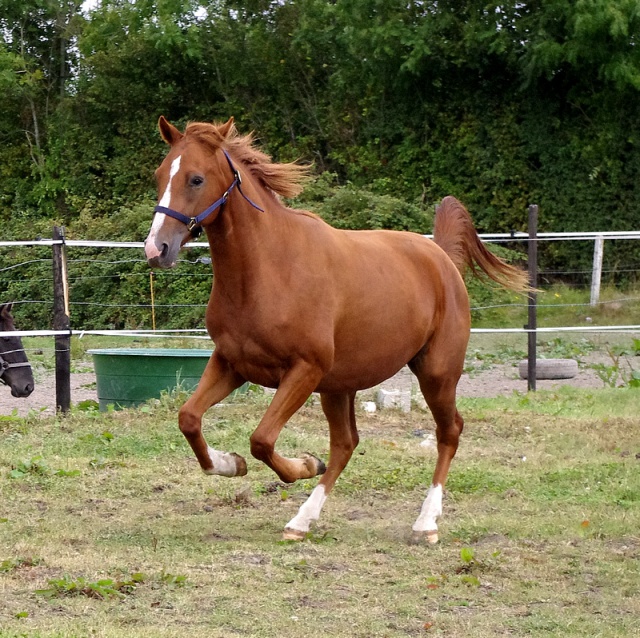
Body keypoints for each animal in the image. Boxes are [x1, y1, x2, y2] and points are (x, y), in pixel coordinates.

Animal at [145, 117, 528, 544]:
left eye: (196, 179)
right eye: (160, 175)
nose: (156, 249)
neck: (267, 269)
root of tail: (440, 256)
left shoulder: (304, 370)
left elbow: (262, 439)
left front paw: (304, 464)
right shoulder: (232, 363)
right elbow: (189, 419)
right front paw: (231, 463)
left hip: (436, 373)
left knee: (449, 432)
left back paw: (425, 523)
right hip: (340, 385)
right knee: (346, 444)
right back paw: (302, 520)